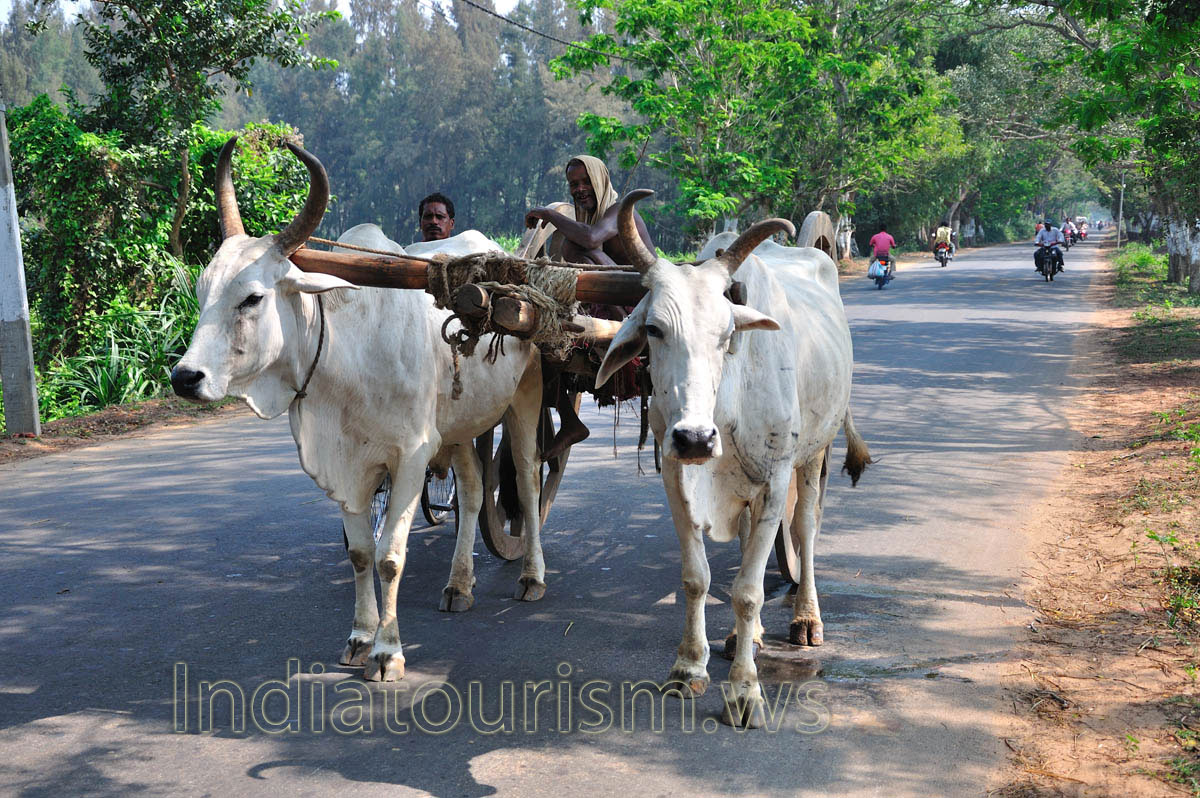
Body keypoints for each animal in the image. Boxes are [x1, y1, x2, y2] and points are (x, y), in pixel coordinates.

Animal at [170, 138, 547, 681]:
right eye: (202, 293)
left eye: (252, 298)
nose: (185, 377)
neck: (345, 353)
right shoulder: (348, 465)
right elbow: (360, 553)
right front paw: (359, 637)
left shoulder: (410, 456)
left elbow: (390, 556)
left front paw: (388, 652)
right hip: (457, 428)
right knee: (475, 492)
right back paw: (459, 585)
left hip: (525, 396)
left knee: (528, 478)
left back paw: (533, 576)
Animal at [595, 190, 870, 727]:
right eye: (654, 329)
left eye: (726, 334)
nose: (696, 439)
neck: (724, 406)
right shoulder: (675, 474)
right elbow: (697, 578)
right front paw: (689, 667)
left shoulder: (776, 478)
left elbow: (747, 591)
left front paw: (745, 693)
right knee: (747, 544)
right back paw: (753, 635)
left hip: (813, 454)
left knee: (805, 528)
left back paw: (806, 618)